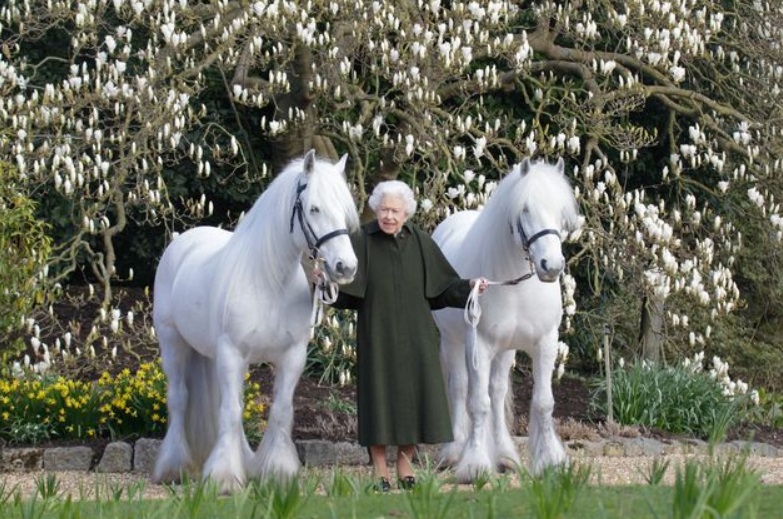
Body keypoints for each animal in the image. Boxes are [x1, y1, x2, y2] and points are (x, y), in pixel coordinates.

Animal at [152, 149, 360, 492]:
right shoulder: (232, 353)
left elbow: (279, 411)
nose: (346, 267)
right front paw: (224, 478)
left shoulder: (292, 357)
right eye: (314, 208)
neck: (269, 282)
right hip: (173, 343)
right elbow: (230, 412)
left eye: (344, 211)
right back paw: (173, 467)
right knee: (179, 400)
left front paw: (277, 472)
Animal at [434, 157, 580, 484]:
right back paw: (454, 452)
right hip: (453, 342)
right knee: (459, 388)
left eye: (560, 211)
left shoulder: (545, 343)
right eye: (525, 209)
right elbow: (477, 404)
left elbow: (542, 402)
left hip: (505, 350)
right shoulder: (479, 345)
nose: (552, 266)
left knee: (497, 391)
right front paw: (474, 465)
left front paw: (550, 461)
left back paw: (504, 456)